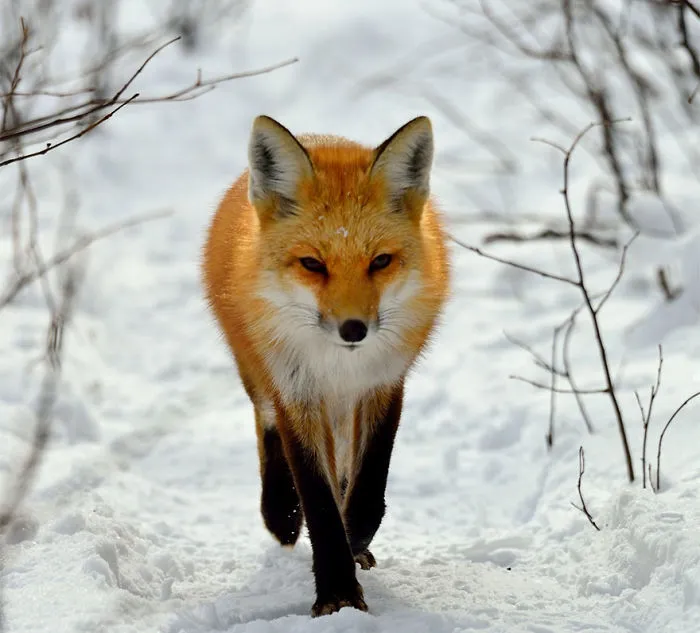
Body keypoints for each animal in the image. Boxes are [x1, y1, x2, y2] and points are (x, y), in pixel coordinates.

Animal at [201, 114, 450, 617]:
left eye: (380, 261)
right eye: (313, 264)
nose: (353, 329)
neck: (339, 367)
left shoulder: (383, 383)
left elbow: (369, 481)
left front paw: (353, 542)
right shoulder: (297, 390)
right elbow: (317, 497)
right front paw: (337, 591)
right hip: (260, 374)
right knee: (267, 425)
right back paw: (280, 513)